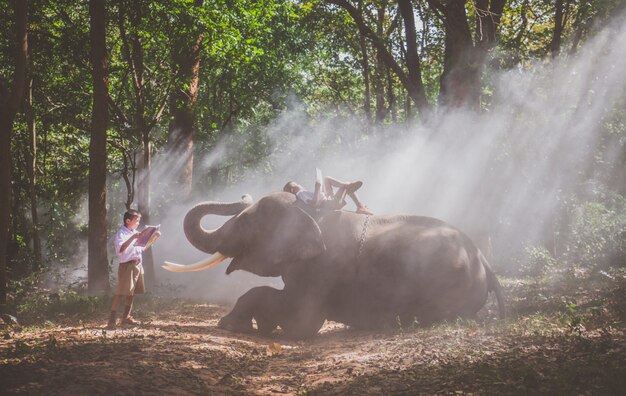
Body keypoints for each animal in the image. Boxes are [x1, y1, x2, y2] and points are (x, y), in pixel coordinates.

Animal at [162, 192, 502, 338]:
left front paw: (233, 326)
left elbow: (302, 322)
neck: (311, 210)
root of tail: (485, 262)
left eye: (245, 223)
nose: (244, 194)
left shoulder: (321, 267)